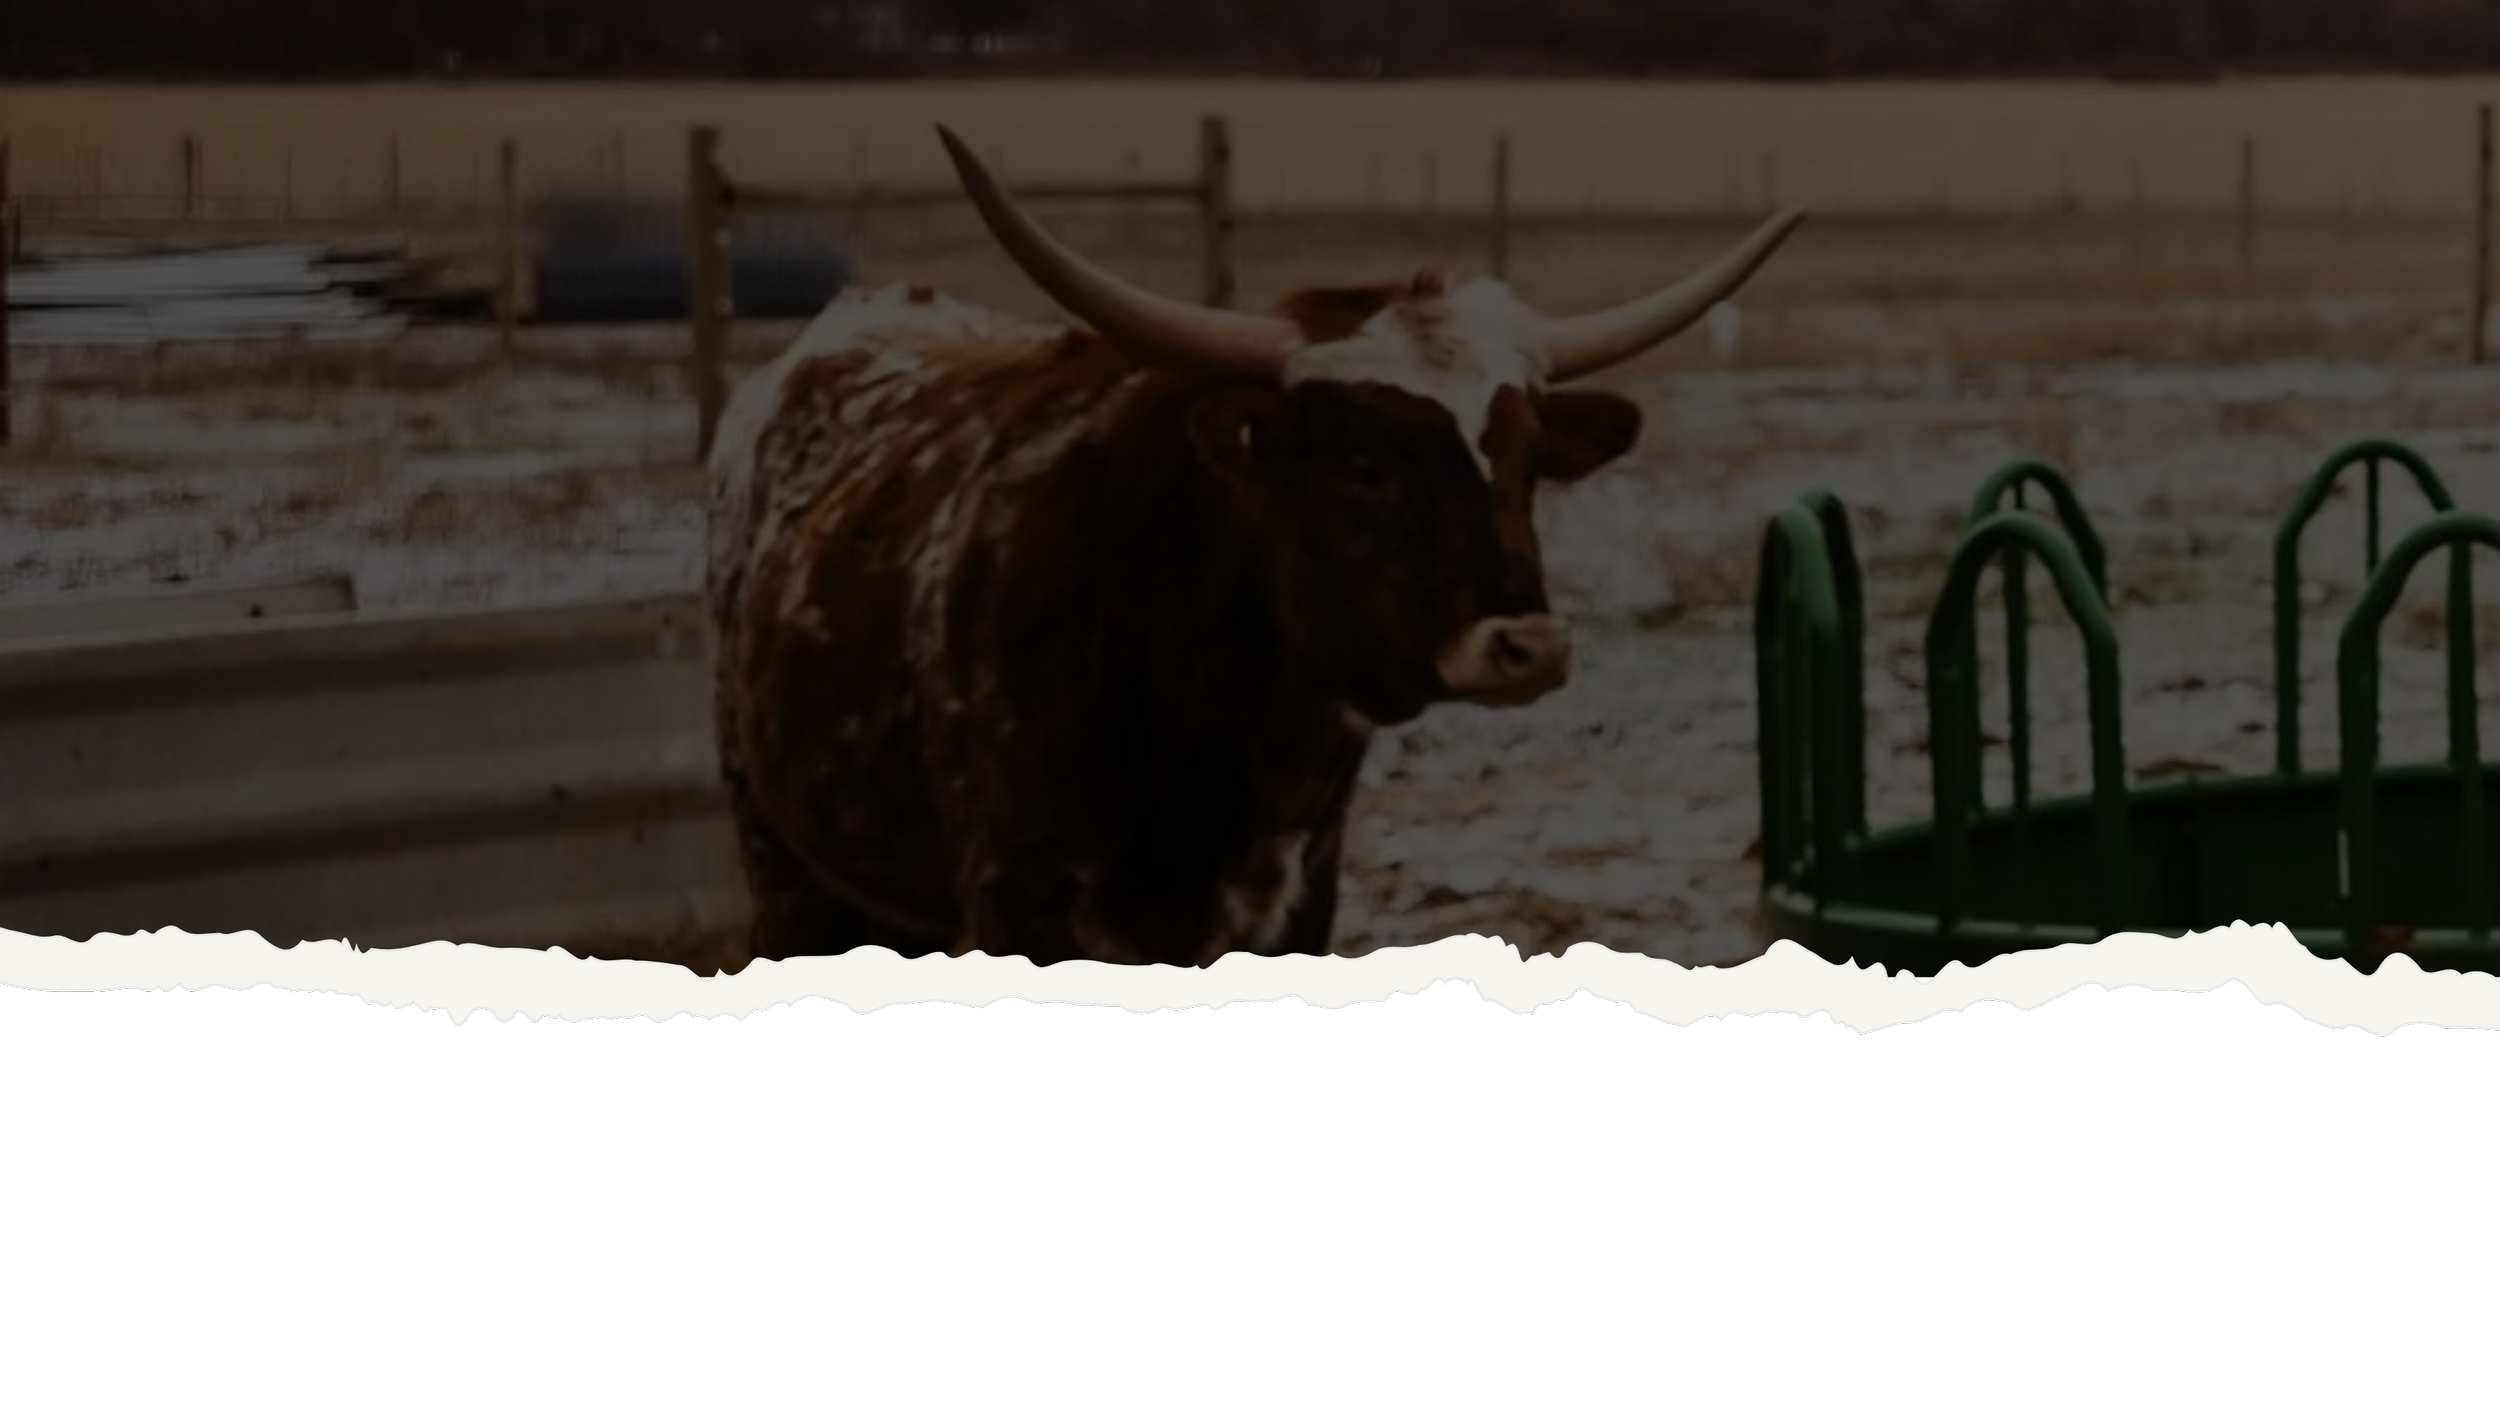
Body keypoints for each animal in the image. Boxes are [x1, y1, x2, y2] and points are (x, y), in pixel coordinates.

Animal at [707, 125, 1808, 968]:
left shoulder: (1291, 901)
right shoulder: (1019, 903)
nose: (1526, 646)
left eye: (1526, 460)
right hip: (785, 864)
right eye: (1363, 461)